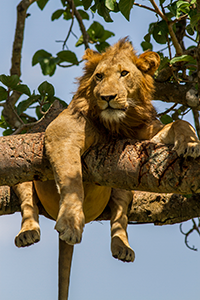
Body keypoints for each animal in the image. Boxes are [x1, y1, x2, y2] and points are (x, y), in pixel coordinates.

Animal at [12, 38, 200, 298]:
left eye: (124, 73)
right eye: (99, 76)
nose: (107, 97)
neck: (118, 124)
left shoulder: (146, 136)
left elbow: (180, 122)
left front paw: (191, 143)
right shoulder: (62, 131)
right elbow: (72, 180)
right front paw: (71, 223)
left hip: (123, 182)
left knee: (120, 215)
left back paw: (122, 247)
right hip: (21, 162)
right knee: (28, 203)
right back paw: (28, 233)